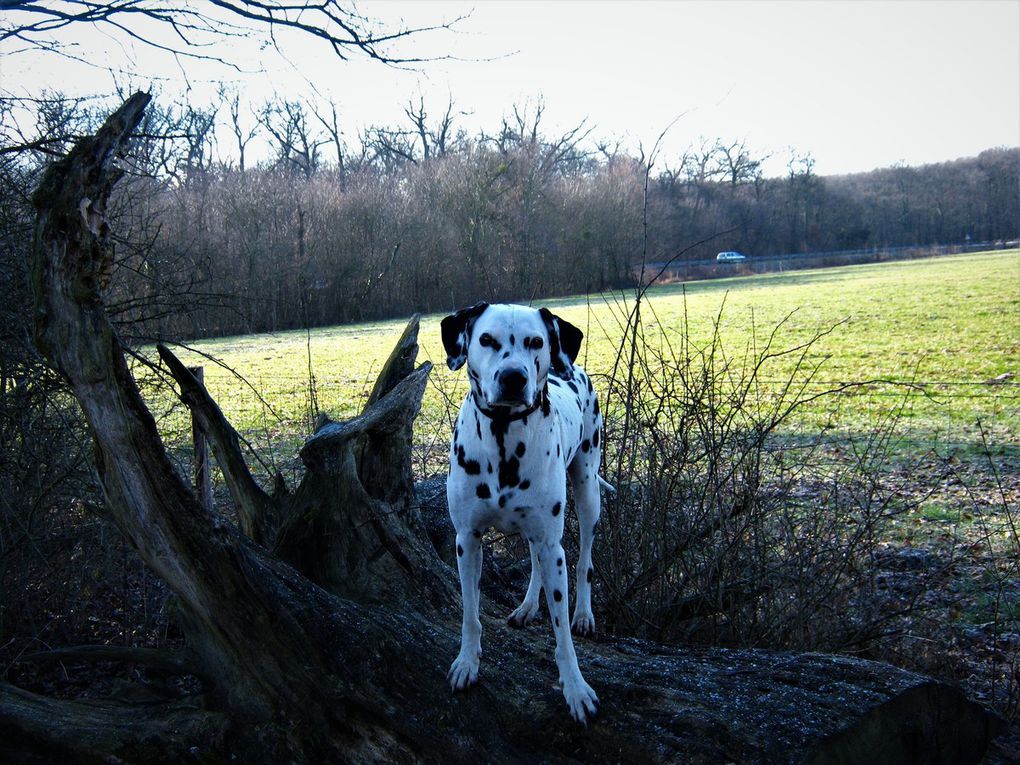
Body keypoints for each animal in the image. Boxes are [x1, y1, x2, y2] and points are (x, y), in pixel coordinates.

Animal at [440, 301, 612, 726]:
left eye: (535, 341)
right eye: (486, 339)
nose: (513, 377)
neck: (504, 439)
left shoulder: (553, 543)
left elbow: (561, 631)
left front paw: (576, 688)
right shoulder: (467, 540)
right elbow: (470, 613)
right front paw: (467, 663)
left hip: (587, 491)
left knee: (584, 559)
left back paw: (584, 613)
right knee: (534, 560)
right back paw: (528, 605)